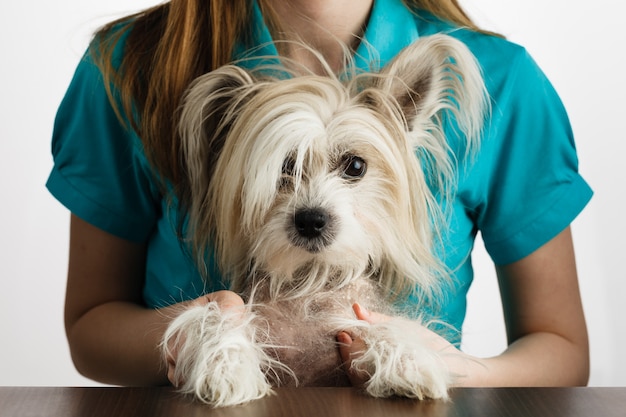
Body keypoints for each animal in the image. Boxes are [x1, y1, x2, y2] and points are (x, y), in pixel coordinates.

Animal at [161, 34, 488, 404]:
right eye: (285, 167)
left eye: (355, 165)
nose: (310, 220)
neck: (313, 283)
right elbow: (216, 315)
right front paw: (226, 367)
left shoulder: (352, 321)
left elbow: (382, 325)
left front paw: (406, 360)